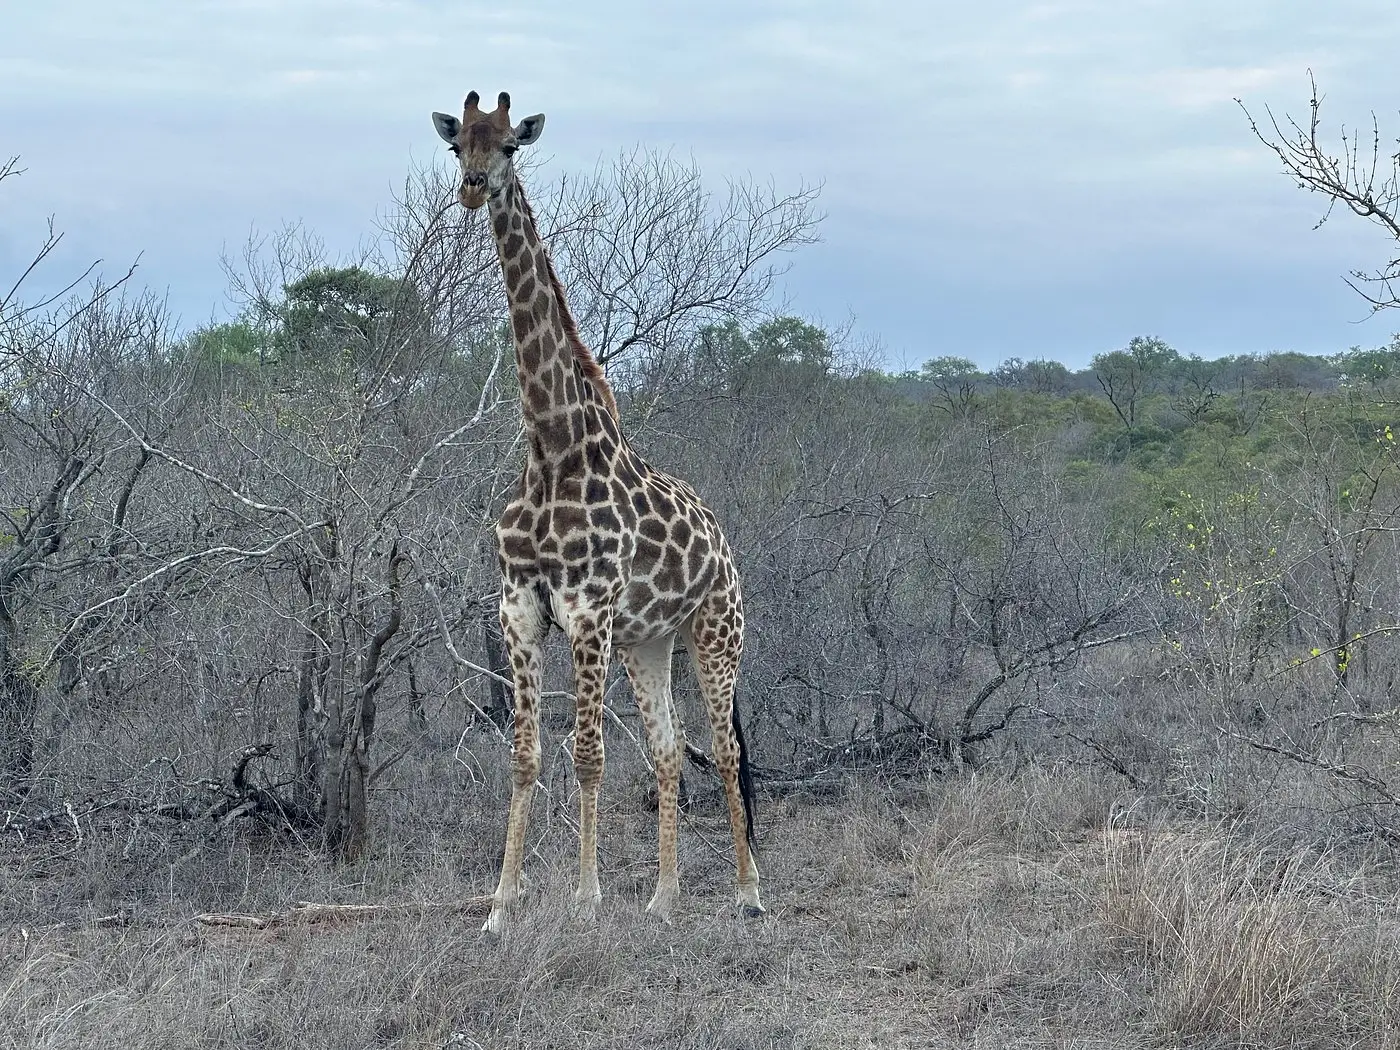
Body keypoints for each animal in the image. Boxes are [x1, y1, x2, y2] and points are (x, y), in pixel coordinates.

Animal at [436, 88, 767, 929]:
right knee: (667, 749)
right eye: (459, 146)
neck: (552, 449)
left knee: (726, 749)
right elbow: (525, 755)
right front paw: (501, 905)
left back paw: (749, 892)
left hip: (715, 631)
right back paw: (662, 898)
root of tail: (723, 542)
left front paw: (585, 899)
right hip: (647, 642)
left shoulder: (587, 609)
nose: (474, 189)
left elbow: (588, 753)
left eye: (509, 146)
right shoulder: (520, 606)